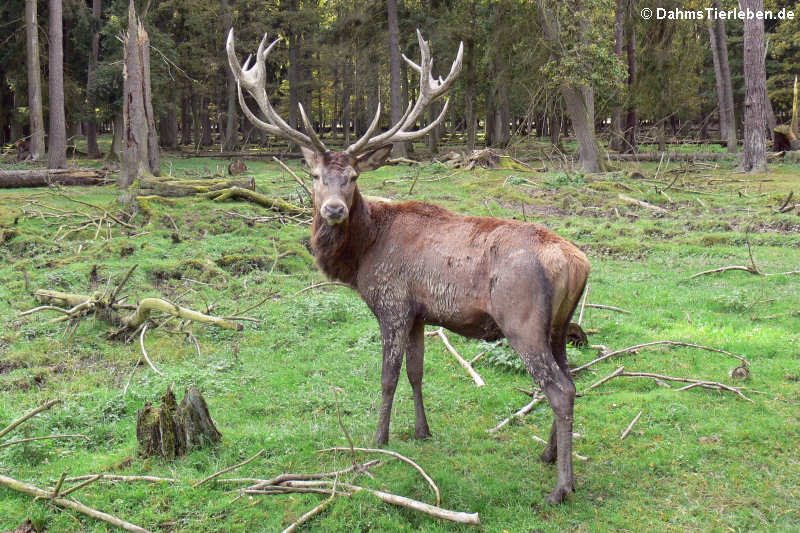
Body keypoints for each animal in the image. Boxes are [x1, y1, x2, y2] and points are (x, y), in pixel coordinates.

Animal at [225, 28, 588, 502]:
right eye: (316, 176)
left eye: (354, 177)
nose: (335, 210)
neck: (363, 254)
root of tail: (577, 262)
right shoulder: (419, 313)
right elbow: (417, 372)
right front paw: (421, 430)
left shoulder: (392, 303)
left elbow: (388, 375)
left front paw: (379, 437)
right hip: (559, 327)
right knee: (573, 381)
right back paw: (549, 456)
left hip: (522, 320)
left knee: (559, 389)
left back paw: (561, 486)